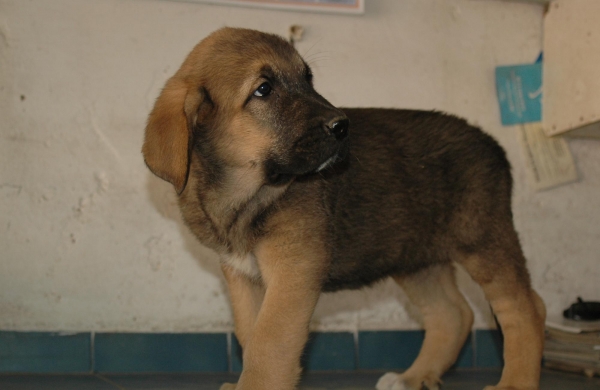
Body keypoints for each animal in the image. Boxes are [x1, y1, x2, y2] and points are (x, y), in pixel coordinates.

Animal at [143, 28, 548, 390]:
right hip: (416, 259)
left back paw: (514, 382)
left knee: (525, 309)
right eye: (264, 90)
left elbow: (268, 347)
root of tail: (492, 143)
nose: (342, 126)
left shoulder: (292, 274)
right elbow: (250, 335)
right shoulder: (242, 276)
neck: (247, 194)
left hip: (483, 242)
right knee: (453, 314)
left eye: (308, 78)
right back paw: (413, 377)